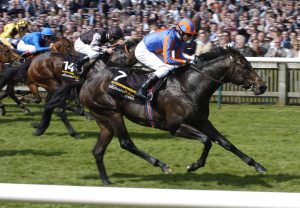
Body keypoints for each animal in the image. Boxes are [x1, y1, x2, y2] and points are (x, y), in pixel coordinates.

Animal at [42, 46, 268, 184]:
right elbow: (207, 141)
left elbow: (225, 143)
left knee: (98, 151)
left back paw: (106, 181)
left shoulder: (202, 120)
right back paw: (161, 165)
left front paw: (258, 165)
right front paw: (193, 166)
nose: (262, 86)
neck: (190, 86)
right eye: (245, 66)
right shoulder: (175, 127)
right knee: (126, 143)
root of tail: (85, 82)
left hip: (103, 120)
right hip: (112, 113)